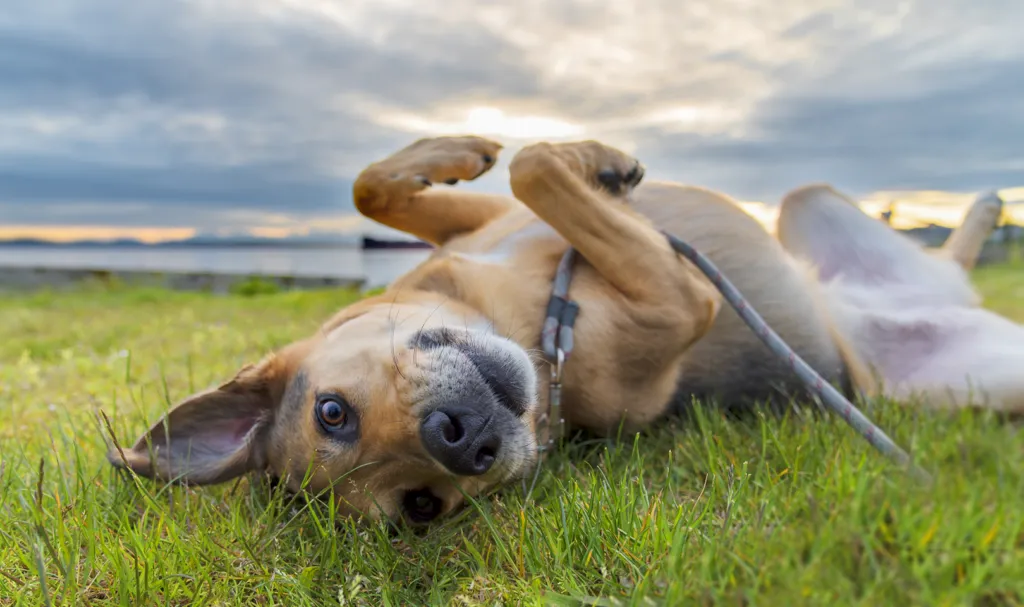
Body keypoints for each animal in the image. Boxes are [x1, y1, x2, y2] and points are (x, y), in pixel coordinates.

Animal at [105, 135, 1024, 524]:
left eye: (333, 411)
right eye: (423, 506)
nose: (459, 439)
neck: (525, 316)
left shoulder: (483, 223)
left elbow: (396, 184)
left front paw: (477, 147)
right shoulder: (681, 298)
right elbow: (538, 170)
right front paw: (589, 160)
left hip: (806, 204)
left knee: (941, 254)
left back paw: (983, 209)